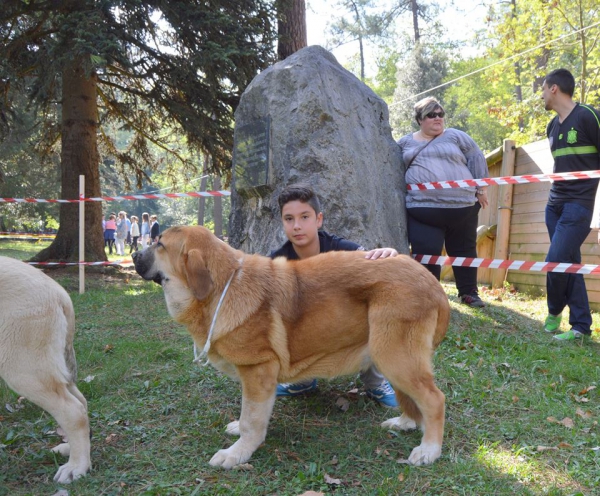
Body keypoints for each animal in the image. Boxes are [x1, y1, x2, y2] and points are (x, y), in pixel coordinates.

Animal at [0, 258, 90, 482]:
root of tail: (58, 292)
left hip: (24, 370)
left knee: (73, 411)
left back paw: (77, 466)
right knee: (81, 403)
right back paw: (70, 449)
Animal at [132, 228, 450, 468]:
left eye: (159, 244)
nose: (134, 254)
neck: (224, 286)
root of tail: (432, 283)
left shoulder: (257, 371)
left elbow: (251, 421)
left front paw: (237, 453)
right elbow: (251, 415)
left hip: (394, 356)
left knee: (434, 399)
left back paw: (429, 450)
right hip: (390, 355)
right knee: (412, 399)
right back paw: (405, 422)